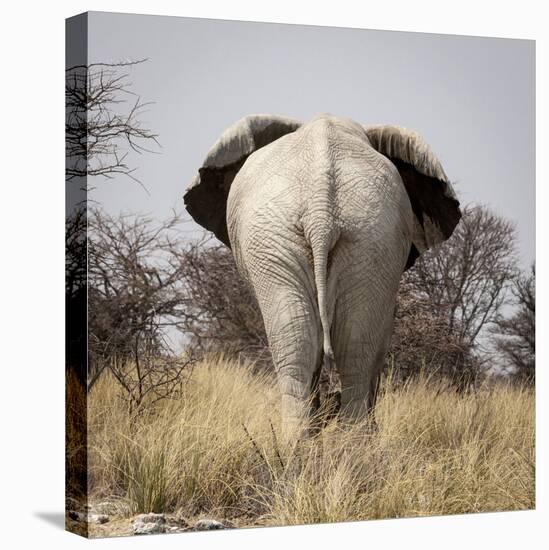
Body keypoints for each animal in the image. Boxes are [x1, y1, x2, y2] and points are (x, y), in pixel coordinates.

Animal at [183, 113, 458, 440]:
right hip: (316, 236)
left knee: (329, 342)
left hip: (359, 237)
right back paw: (328, 443)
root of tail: (321, 207)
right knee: (332, 342)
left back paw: (320, 444)